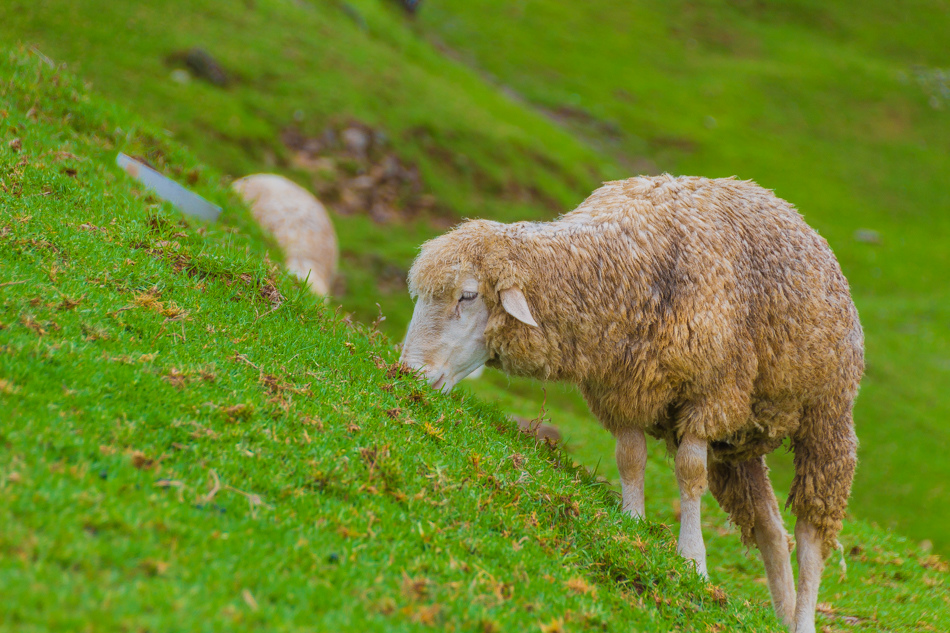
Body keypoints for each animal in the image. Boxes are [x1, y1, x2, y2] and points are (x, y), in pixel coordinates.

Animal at [400, 174, 864, 632]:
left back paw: (803, 616)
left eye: (467, 296)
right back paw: (784, 611)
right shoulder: (622, 393)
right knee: (769, 526)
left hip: (826, 414)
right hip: (740, 440)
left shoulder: (709, 395)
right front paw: (632, 524)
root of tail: (792, 211)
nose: (409, 371)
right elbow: (630, 459)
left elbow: (689, 473)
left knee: (810, 535)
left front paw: (693, 561)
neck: (623, 263)